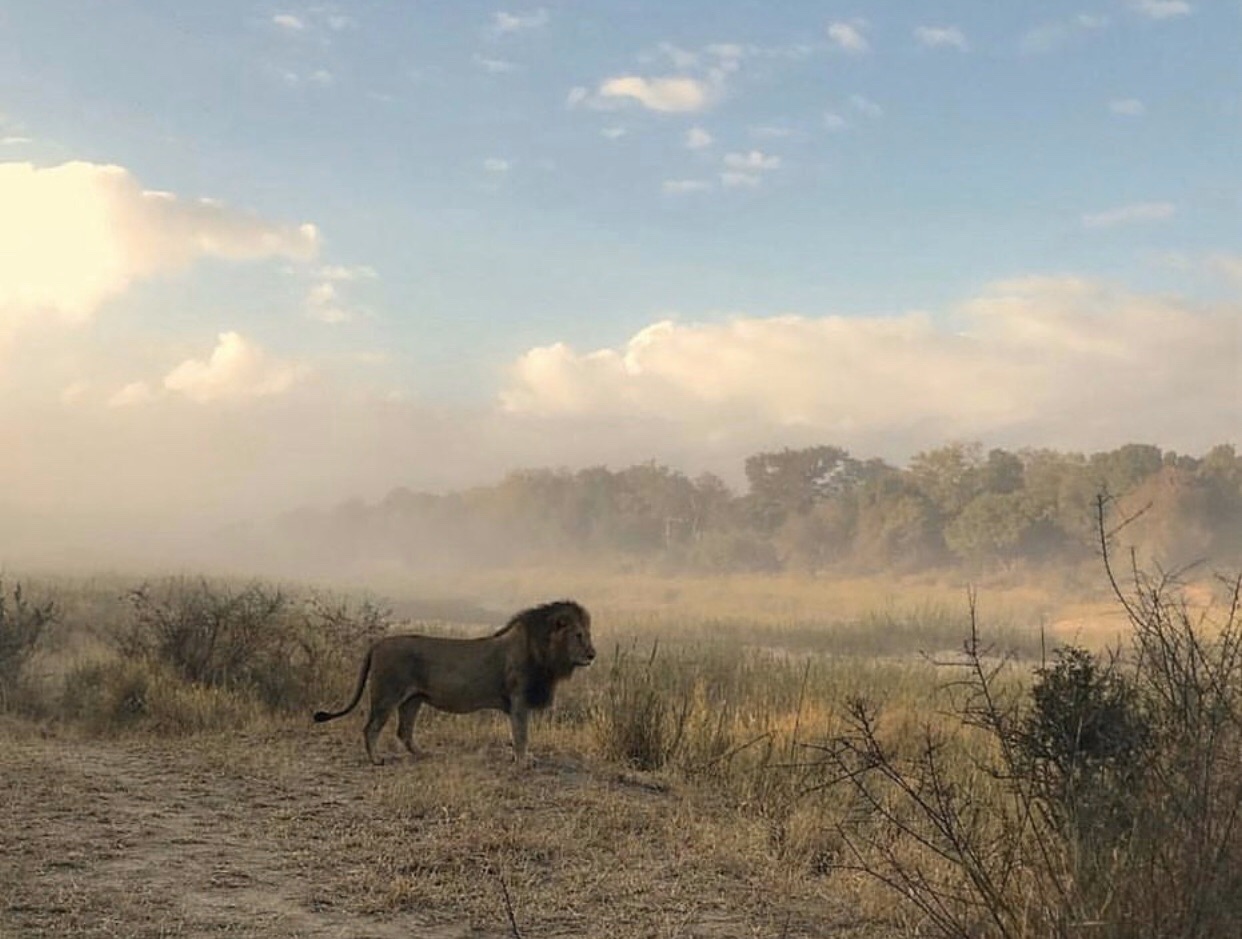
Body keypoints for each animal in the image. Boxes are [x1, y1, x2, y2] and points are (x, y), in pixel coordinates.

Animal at [315, 598, 596, 765]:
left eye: (588, 634)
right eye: (579, 635)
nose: (593, 654)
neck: (545, 651)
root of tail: (377, 644)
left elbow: (518, 735)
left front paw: (523, 759)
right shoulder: (519, 700)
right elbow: (521, 735)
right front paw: (523, 762)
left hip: (413, 699)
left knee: (403, 731)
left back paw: (423, 754)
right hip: (387, 695)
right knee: (371, 728)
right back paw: (376, 759)